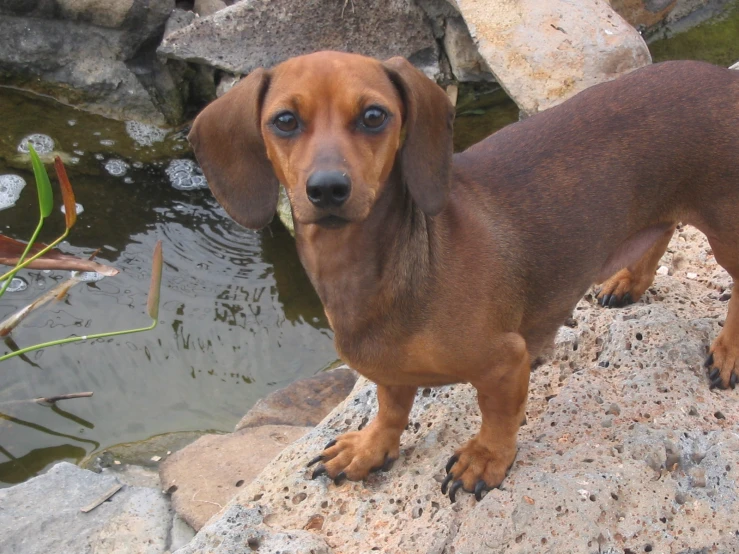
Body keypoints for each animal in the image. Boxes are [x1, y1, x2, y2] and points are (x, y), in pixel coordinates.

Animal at [189, 51, 739, 500]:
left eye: (373, 116)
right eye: (284, 120)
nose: (327, 189)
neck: (397, 261)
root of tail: (723, 78)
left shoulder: (505, 360)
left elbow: (497, 416)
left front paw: (485, 460)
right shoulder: (389, 370)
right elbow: (391, 407)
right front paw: (369, 448)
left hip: (727, 228)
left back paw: (728, 352)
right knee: (661, 229)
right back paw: (629, 281)